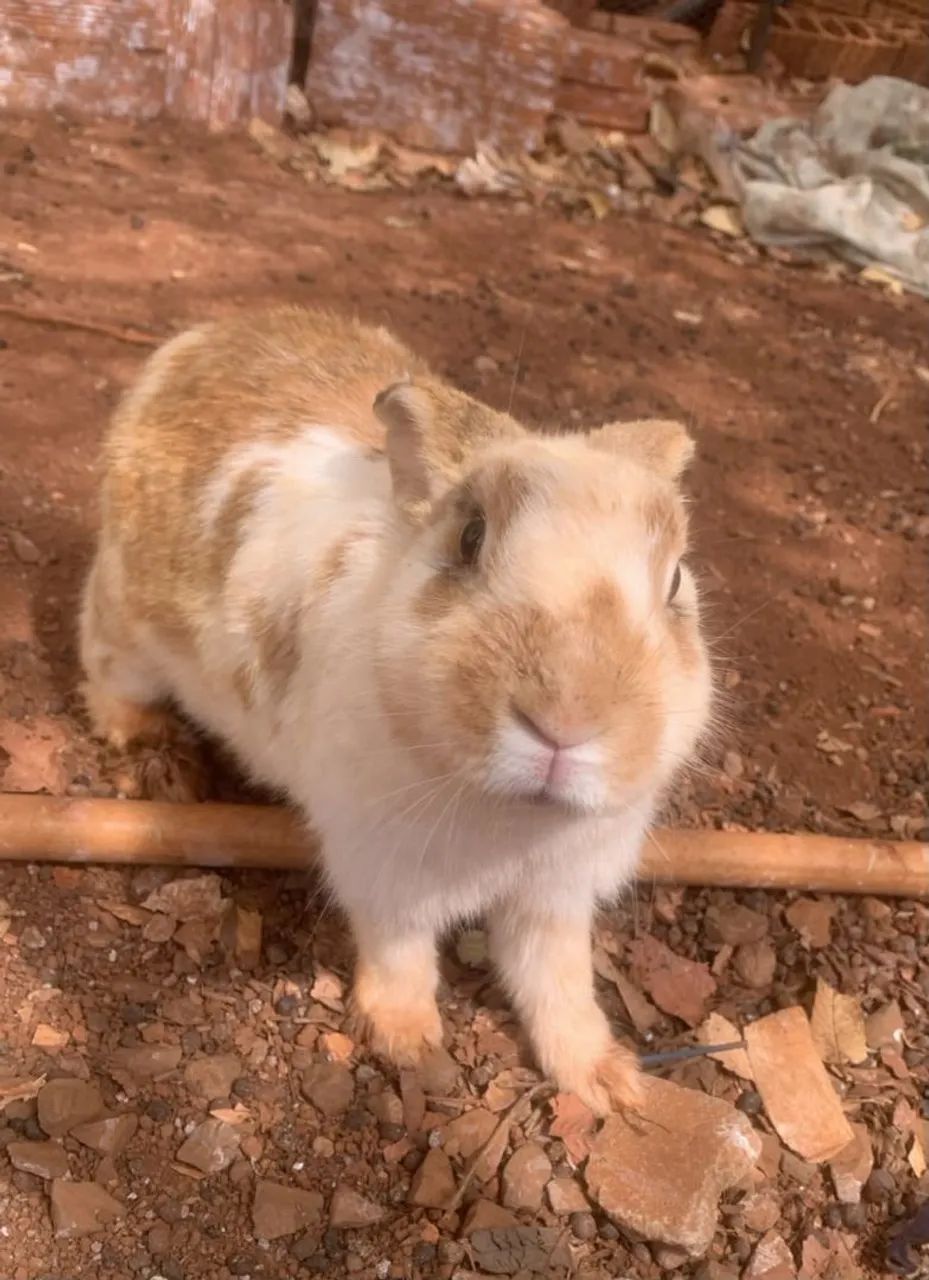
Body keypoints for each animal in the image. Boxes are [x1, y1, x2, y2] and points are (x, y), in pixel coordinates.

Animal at [81, 307, 712, 1115]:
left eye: (675, 583)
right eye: (470, 539)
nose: (565, 722)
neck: (507, 816)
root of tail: (198, 338)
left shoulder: (555, 894)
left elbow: (557, 980)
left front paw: (607, 1081)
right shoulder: (385, 868)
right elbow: (399, 950)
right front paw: (407, 1041)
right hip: (129, 627)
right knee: (100, 655)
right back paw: (144, 740)